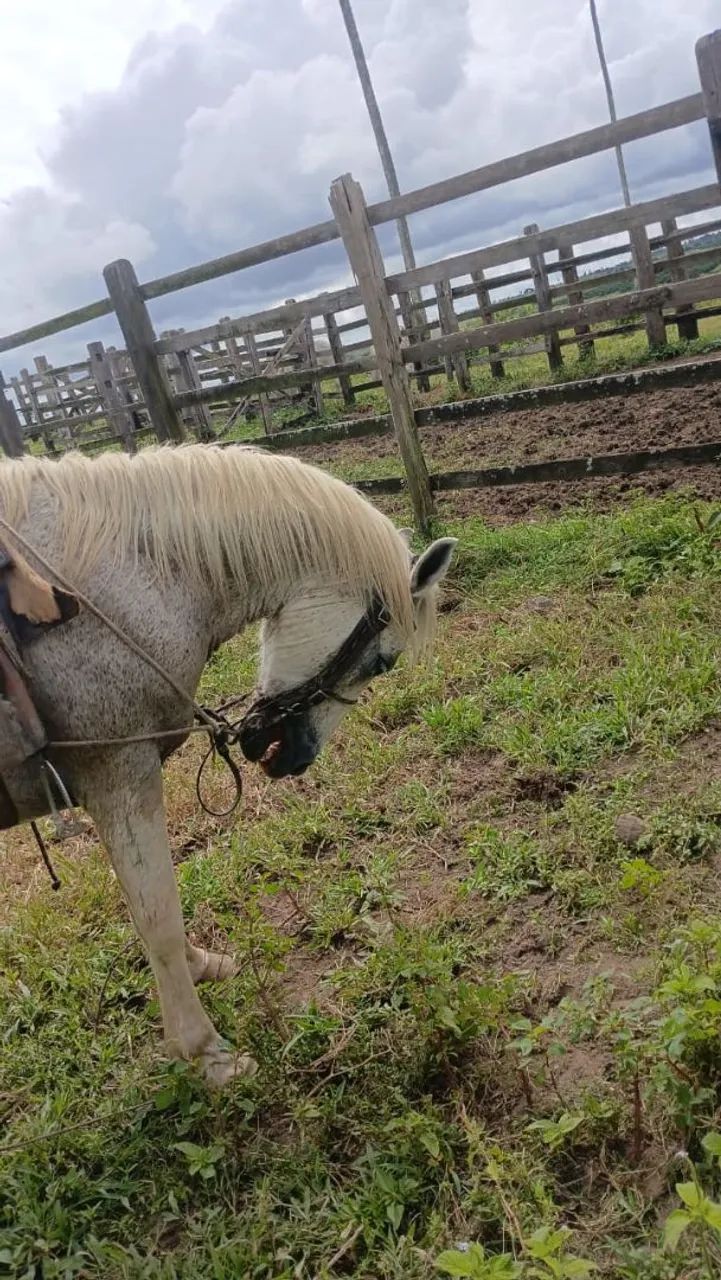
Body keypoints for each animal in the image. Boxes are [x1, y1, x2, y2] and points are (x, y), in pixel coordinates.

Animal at [0, 445, 456, 1085]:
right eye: (382, 662)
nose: (295, 758)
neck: (120, 584)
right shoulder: (120, 774)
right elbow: (159, 916)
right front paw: (203, 1053)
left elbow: (147, 905)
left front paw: (200, 966)